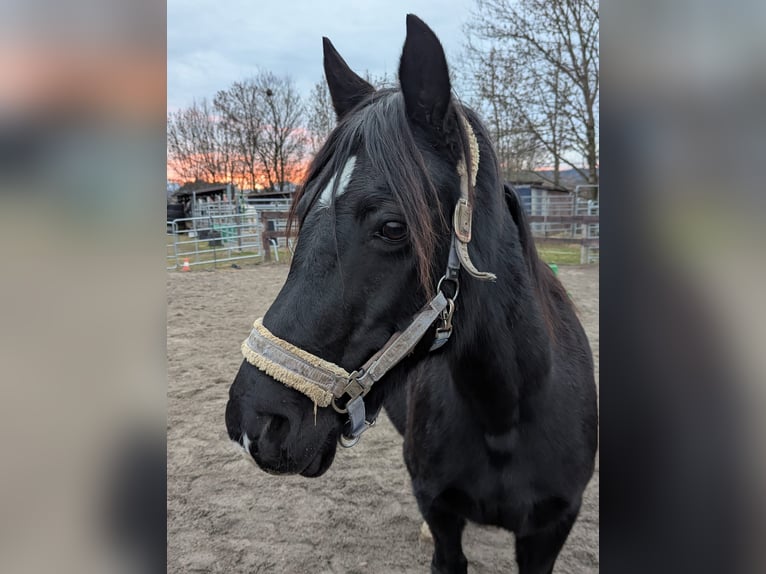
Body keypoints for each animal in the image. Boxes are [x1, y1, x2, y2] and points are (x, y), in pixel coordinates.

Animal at [226, 14, 597, 574]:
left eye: (393, 227)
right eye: (303, 210)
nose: (255, 423)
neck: (506, 412)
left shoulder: (549, 531)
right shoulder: (442, 514)